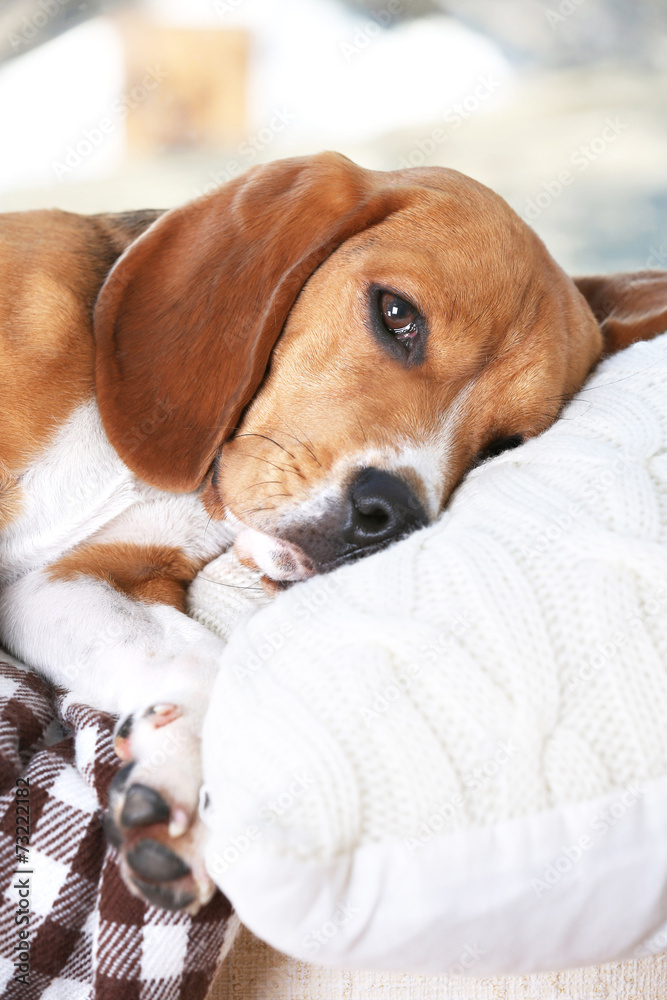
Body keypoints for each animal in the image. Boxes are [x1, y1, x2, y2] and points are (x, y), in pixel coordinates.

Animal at [1, 152, 667, 912]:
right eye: (396, 313)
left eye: (502, 447)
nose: (390, 515)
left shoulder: (70, 582)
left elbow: (202, 659)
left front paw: (183, 786)